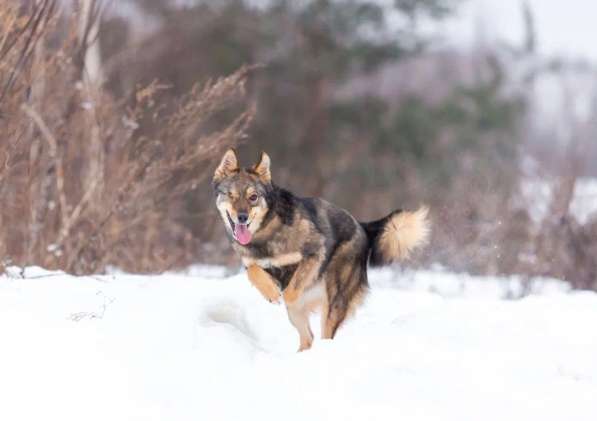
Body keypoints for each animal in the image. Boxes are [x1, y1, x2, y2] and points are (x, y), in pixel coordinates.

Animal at [212, 149, 430, 350]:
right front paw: (271, 292)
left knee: (324, 331)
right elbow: (255, 272)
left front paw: (279, 294)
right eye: (230, 195)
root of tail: (361, 226)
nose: (242, 217)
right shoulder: (252, 264)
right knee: (308, 338)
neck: (265, 232)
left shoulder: (314, 253)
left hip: (334, 300)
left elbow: (291, 292)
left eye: (253, 197)